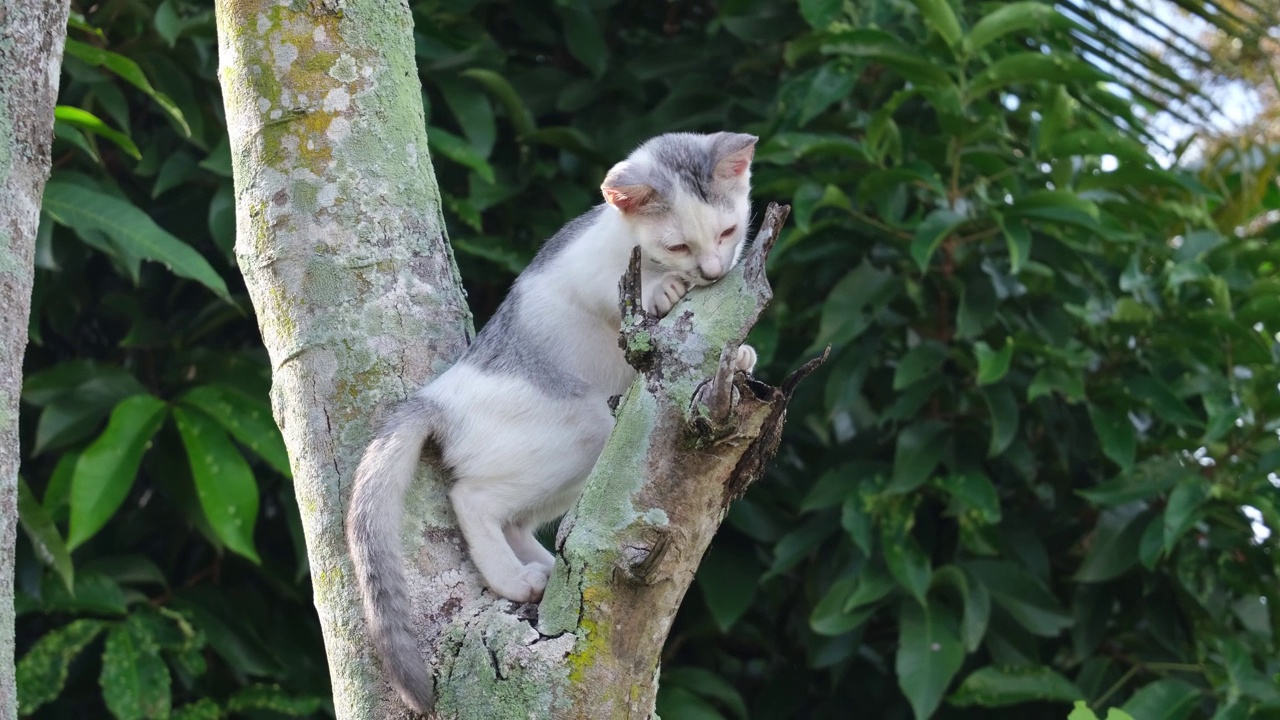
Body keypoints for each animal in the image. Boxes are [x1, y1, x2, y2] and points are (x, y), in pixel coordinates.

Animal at [345, 131, 752, 707]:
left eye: (727, 231)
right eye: (678, 246)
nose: (713, 272)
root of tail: (436, 397)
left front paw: (741, 359)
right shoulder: (585, 271)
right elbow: (617, 287)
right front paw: (662, 290)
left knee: (513, 517)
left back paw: (538, 567)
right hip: (580, 429)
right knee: (472, 499)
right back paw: (511, 580)